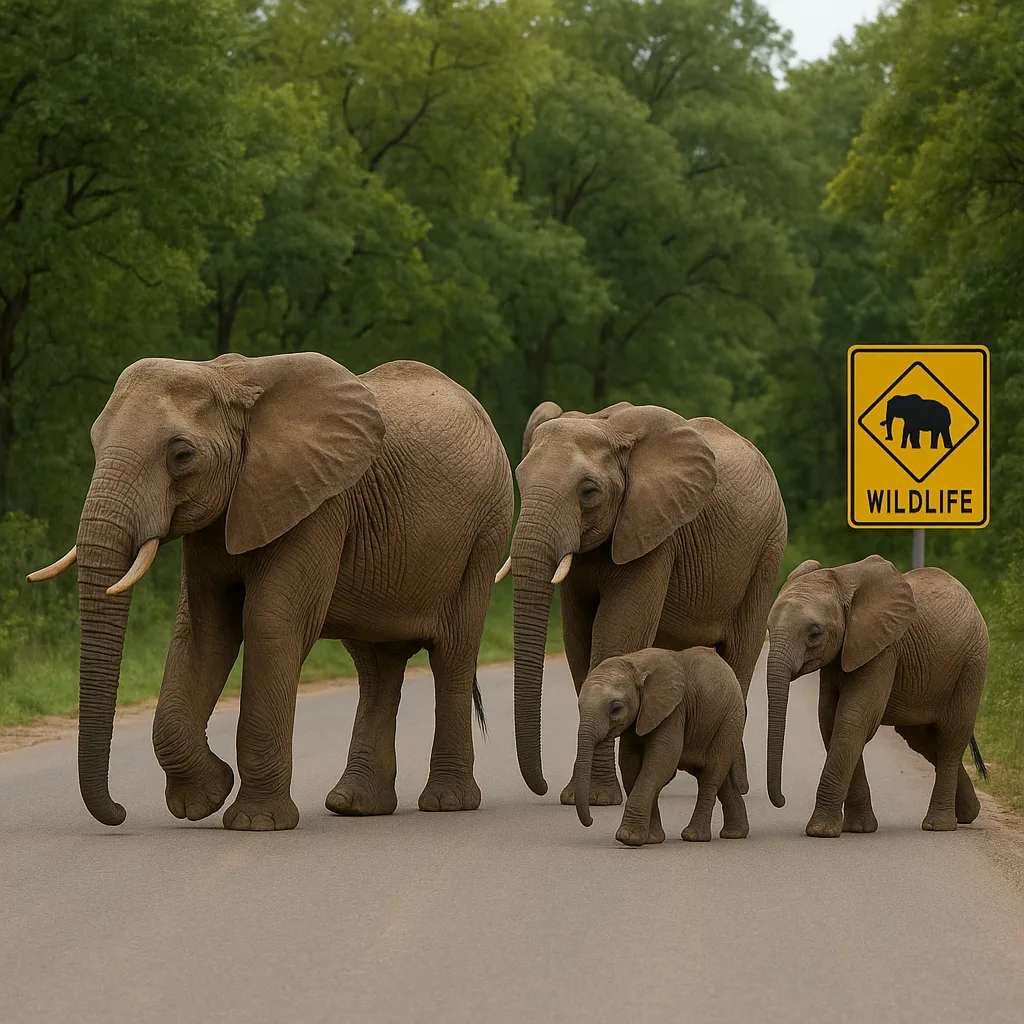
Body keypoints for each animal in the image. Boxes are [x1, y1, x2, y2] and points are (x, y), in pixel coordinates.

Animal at [28, 353, 513, 830]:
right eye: (94, 443)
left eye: (182, 455)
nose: (119, 812)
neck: (229, 379)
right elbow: (205, 631)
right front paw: (205, 799)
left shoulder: (320, 503)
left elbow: (270, 623)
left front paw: (255, 822)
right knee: (376, 667)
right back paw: (353, 805)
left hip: (487, 530)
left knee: (452, 655)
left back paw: (447, 803)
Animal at [502, 400, 787, 806]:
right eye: (521, 479)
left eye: (588, 491)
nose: (540, 787)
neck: (604, 426)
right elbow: (578, 641)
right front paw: (580, 795)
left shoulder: (656, 530)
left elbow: (615, 634)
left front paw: (598, 798)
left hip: (767, 550)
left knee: (740, 656)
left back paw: (735, 785)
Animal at [572, 647, 748, 846]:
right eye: (579, 706)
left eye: (616, 708)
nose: (591, 821)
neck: (635, 664)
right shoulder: (640, 717)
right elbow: (630, 765)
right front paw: (651, 839)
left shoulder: (674, 709)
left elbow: (660, 761)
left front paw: (628, 837)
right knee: (721, 776)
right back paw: (735, 833)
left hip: (729, 720)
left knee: (711, 775)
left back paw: (694, 836)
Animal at [766, 555, 989, 838]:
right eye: (768, 629)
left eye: (815, 633)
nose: (782, 801)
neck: (842, 578)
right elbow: (831, 722)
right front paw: (859, 828)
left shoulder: (884, 649)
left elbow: (853, 719)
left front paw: (820, 831)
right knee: (923, 741)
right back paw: (969, 813)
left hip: (972, 663)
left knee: (951, 736)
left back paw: (938, 826)